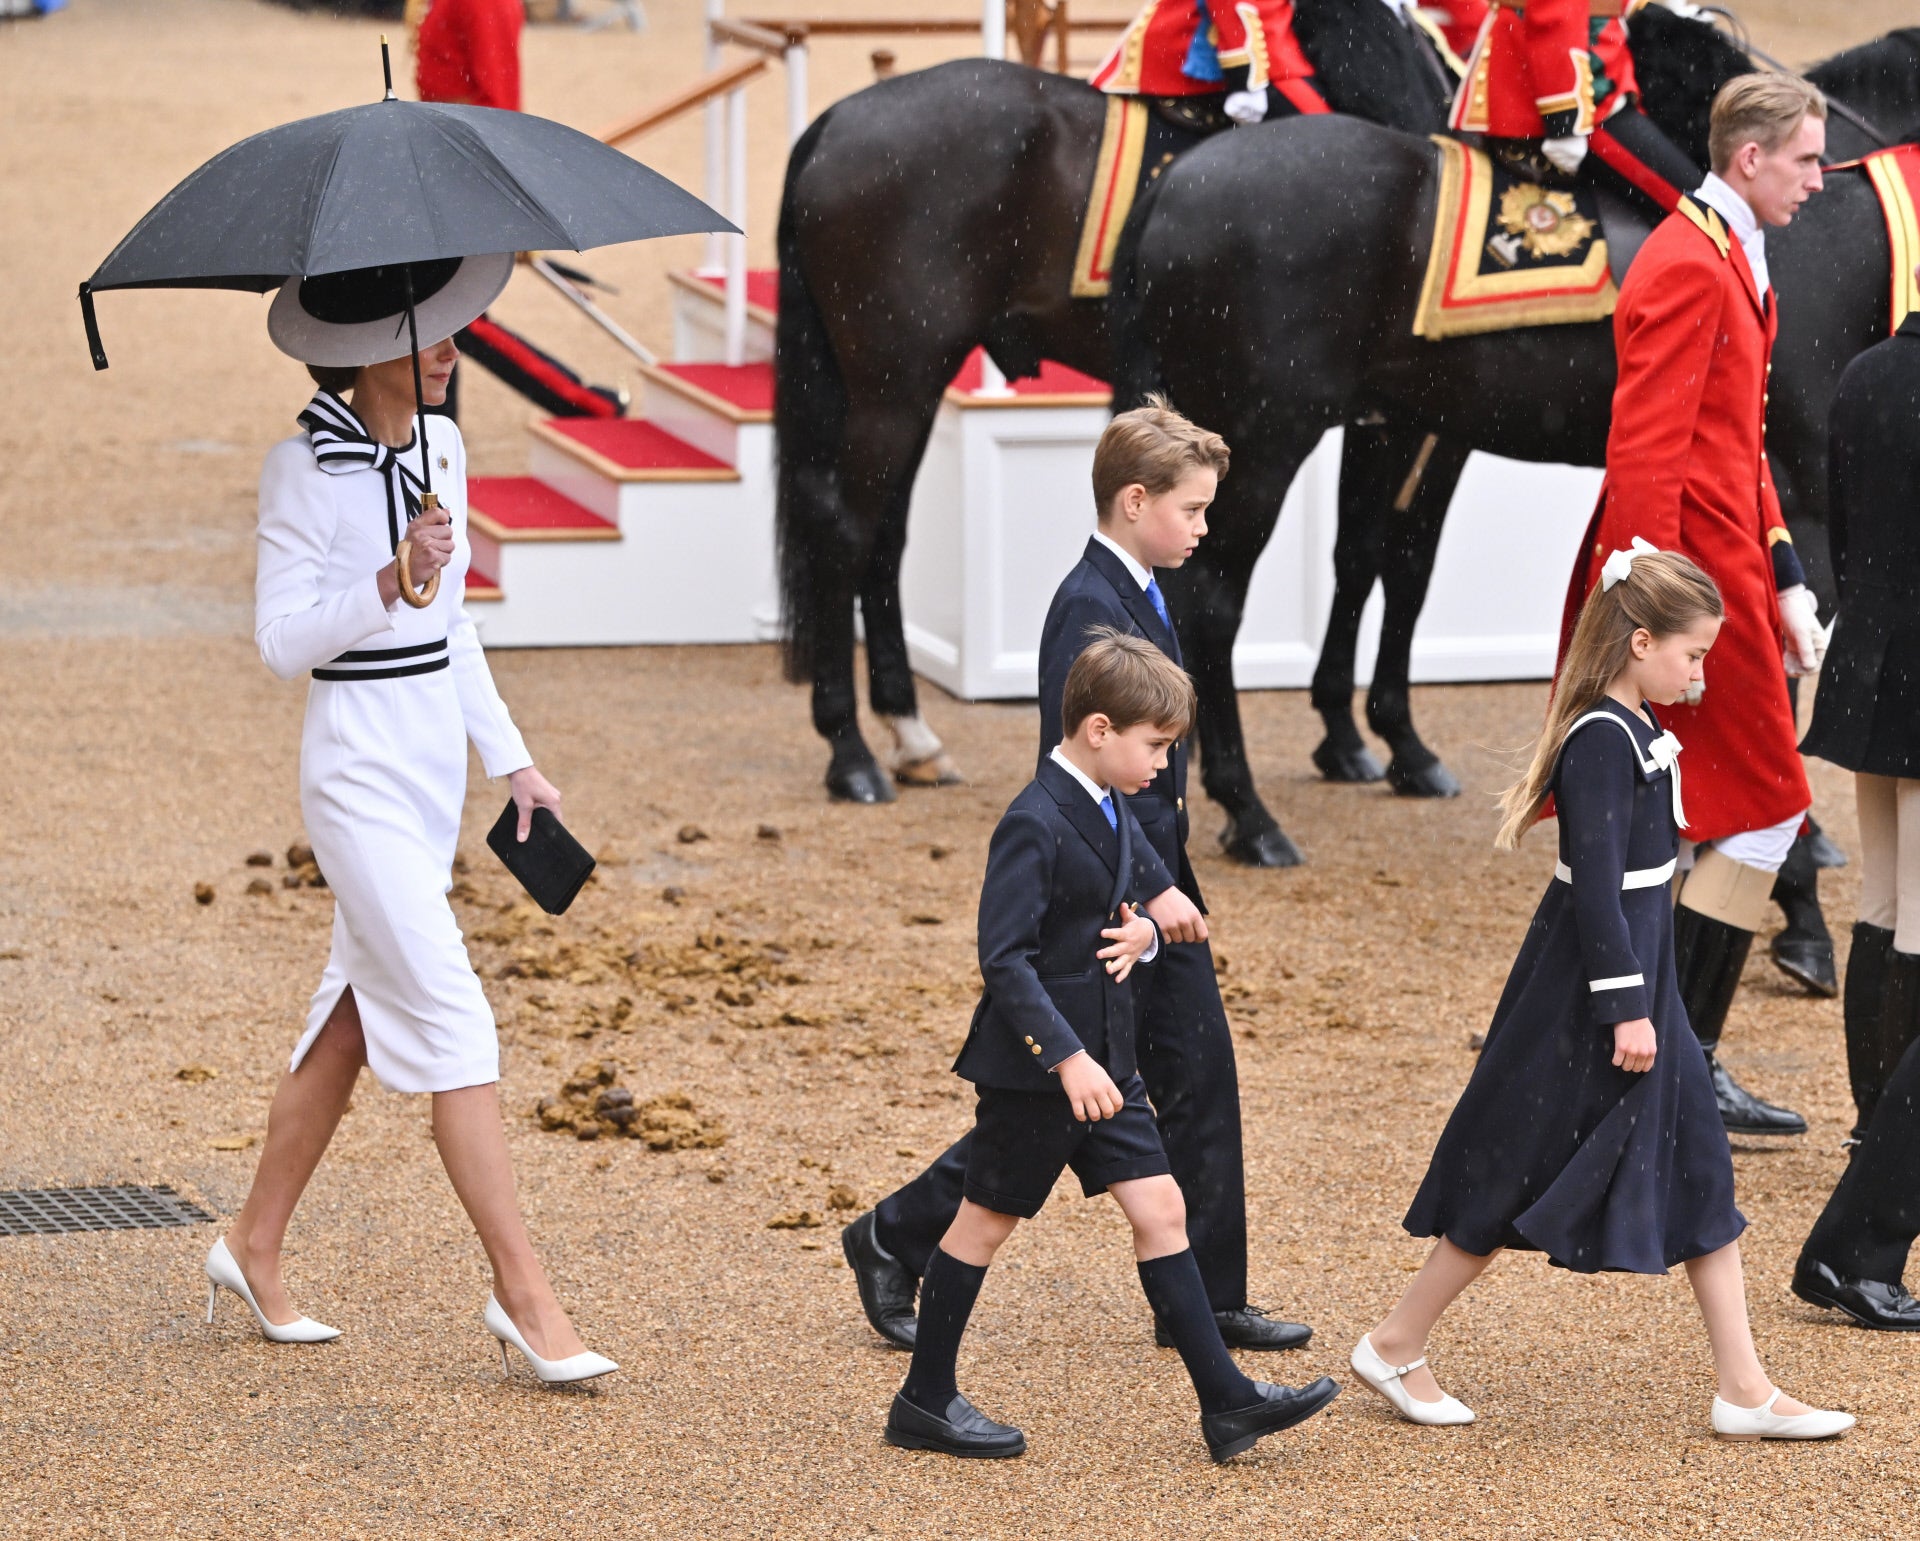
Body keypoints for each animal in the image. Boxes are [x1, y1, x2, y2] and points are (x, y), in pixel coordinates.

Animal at [771, 0, 1443, 821]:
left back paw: (910, 733)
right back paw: (851, 753)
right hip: (893, 383)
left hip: (898, 386)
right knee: (846, 531)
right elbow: (1401, 561)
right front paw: (1393, 743)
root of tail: (837, 119)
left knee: (880, 538)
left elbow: (1359, 555)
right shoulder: (1419, 419)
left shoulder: (1379, 416)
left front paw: (1344, 739)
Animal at [1113, 6, 1920, 863]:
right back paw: (1248, 811)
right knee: (1210, 600)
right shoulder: (1801, 493)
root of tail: (1176, 180)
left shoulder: (1414, 429)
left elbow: (1388, 561)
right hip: (1263, 435)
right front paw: (1793, 834)